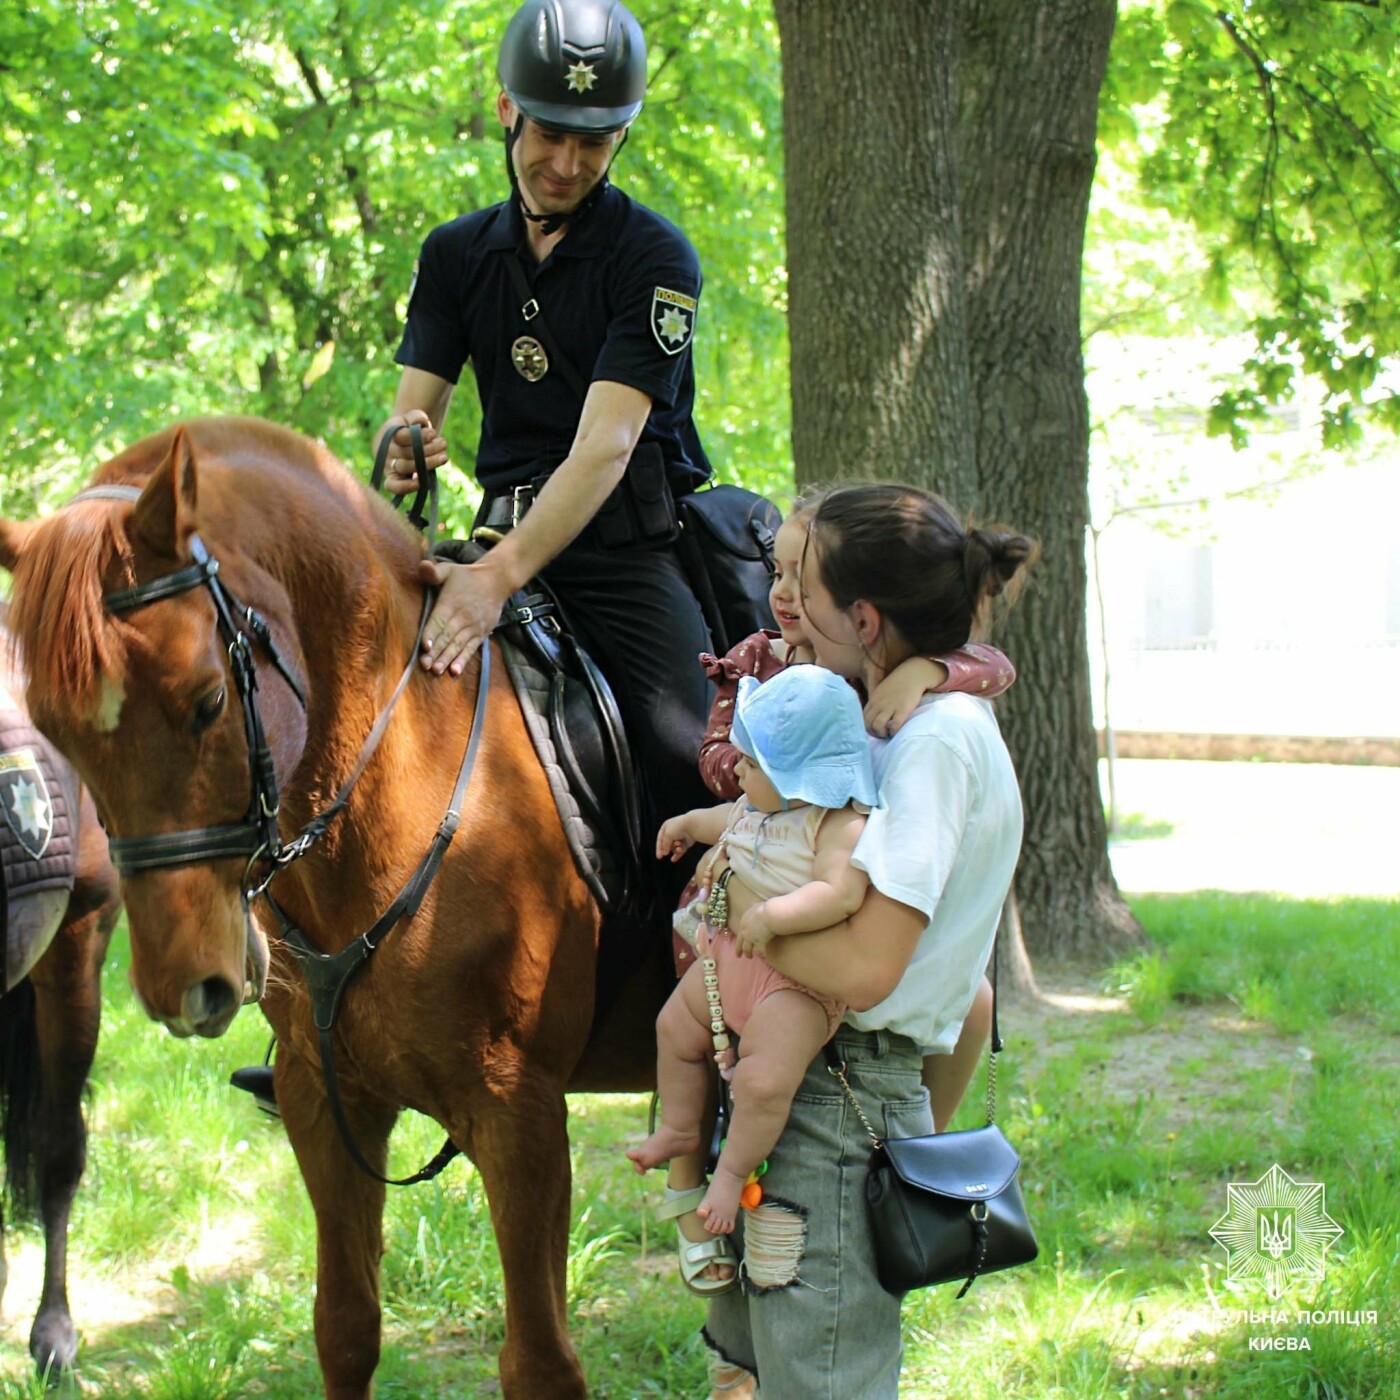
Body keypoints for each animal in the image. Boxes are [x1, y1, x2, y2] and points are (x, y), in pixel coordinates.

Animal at [0, 414, 672, 1400]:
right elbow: (346, 1328)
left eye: (208, 702)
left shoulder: (521, 1121)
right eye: (55, 730)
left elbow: (541, 1363)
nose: (184, 990)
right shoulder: (325, 1101)